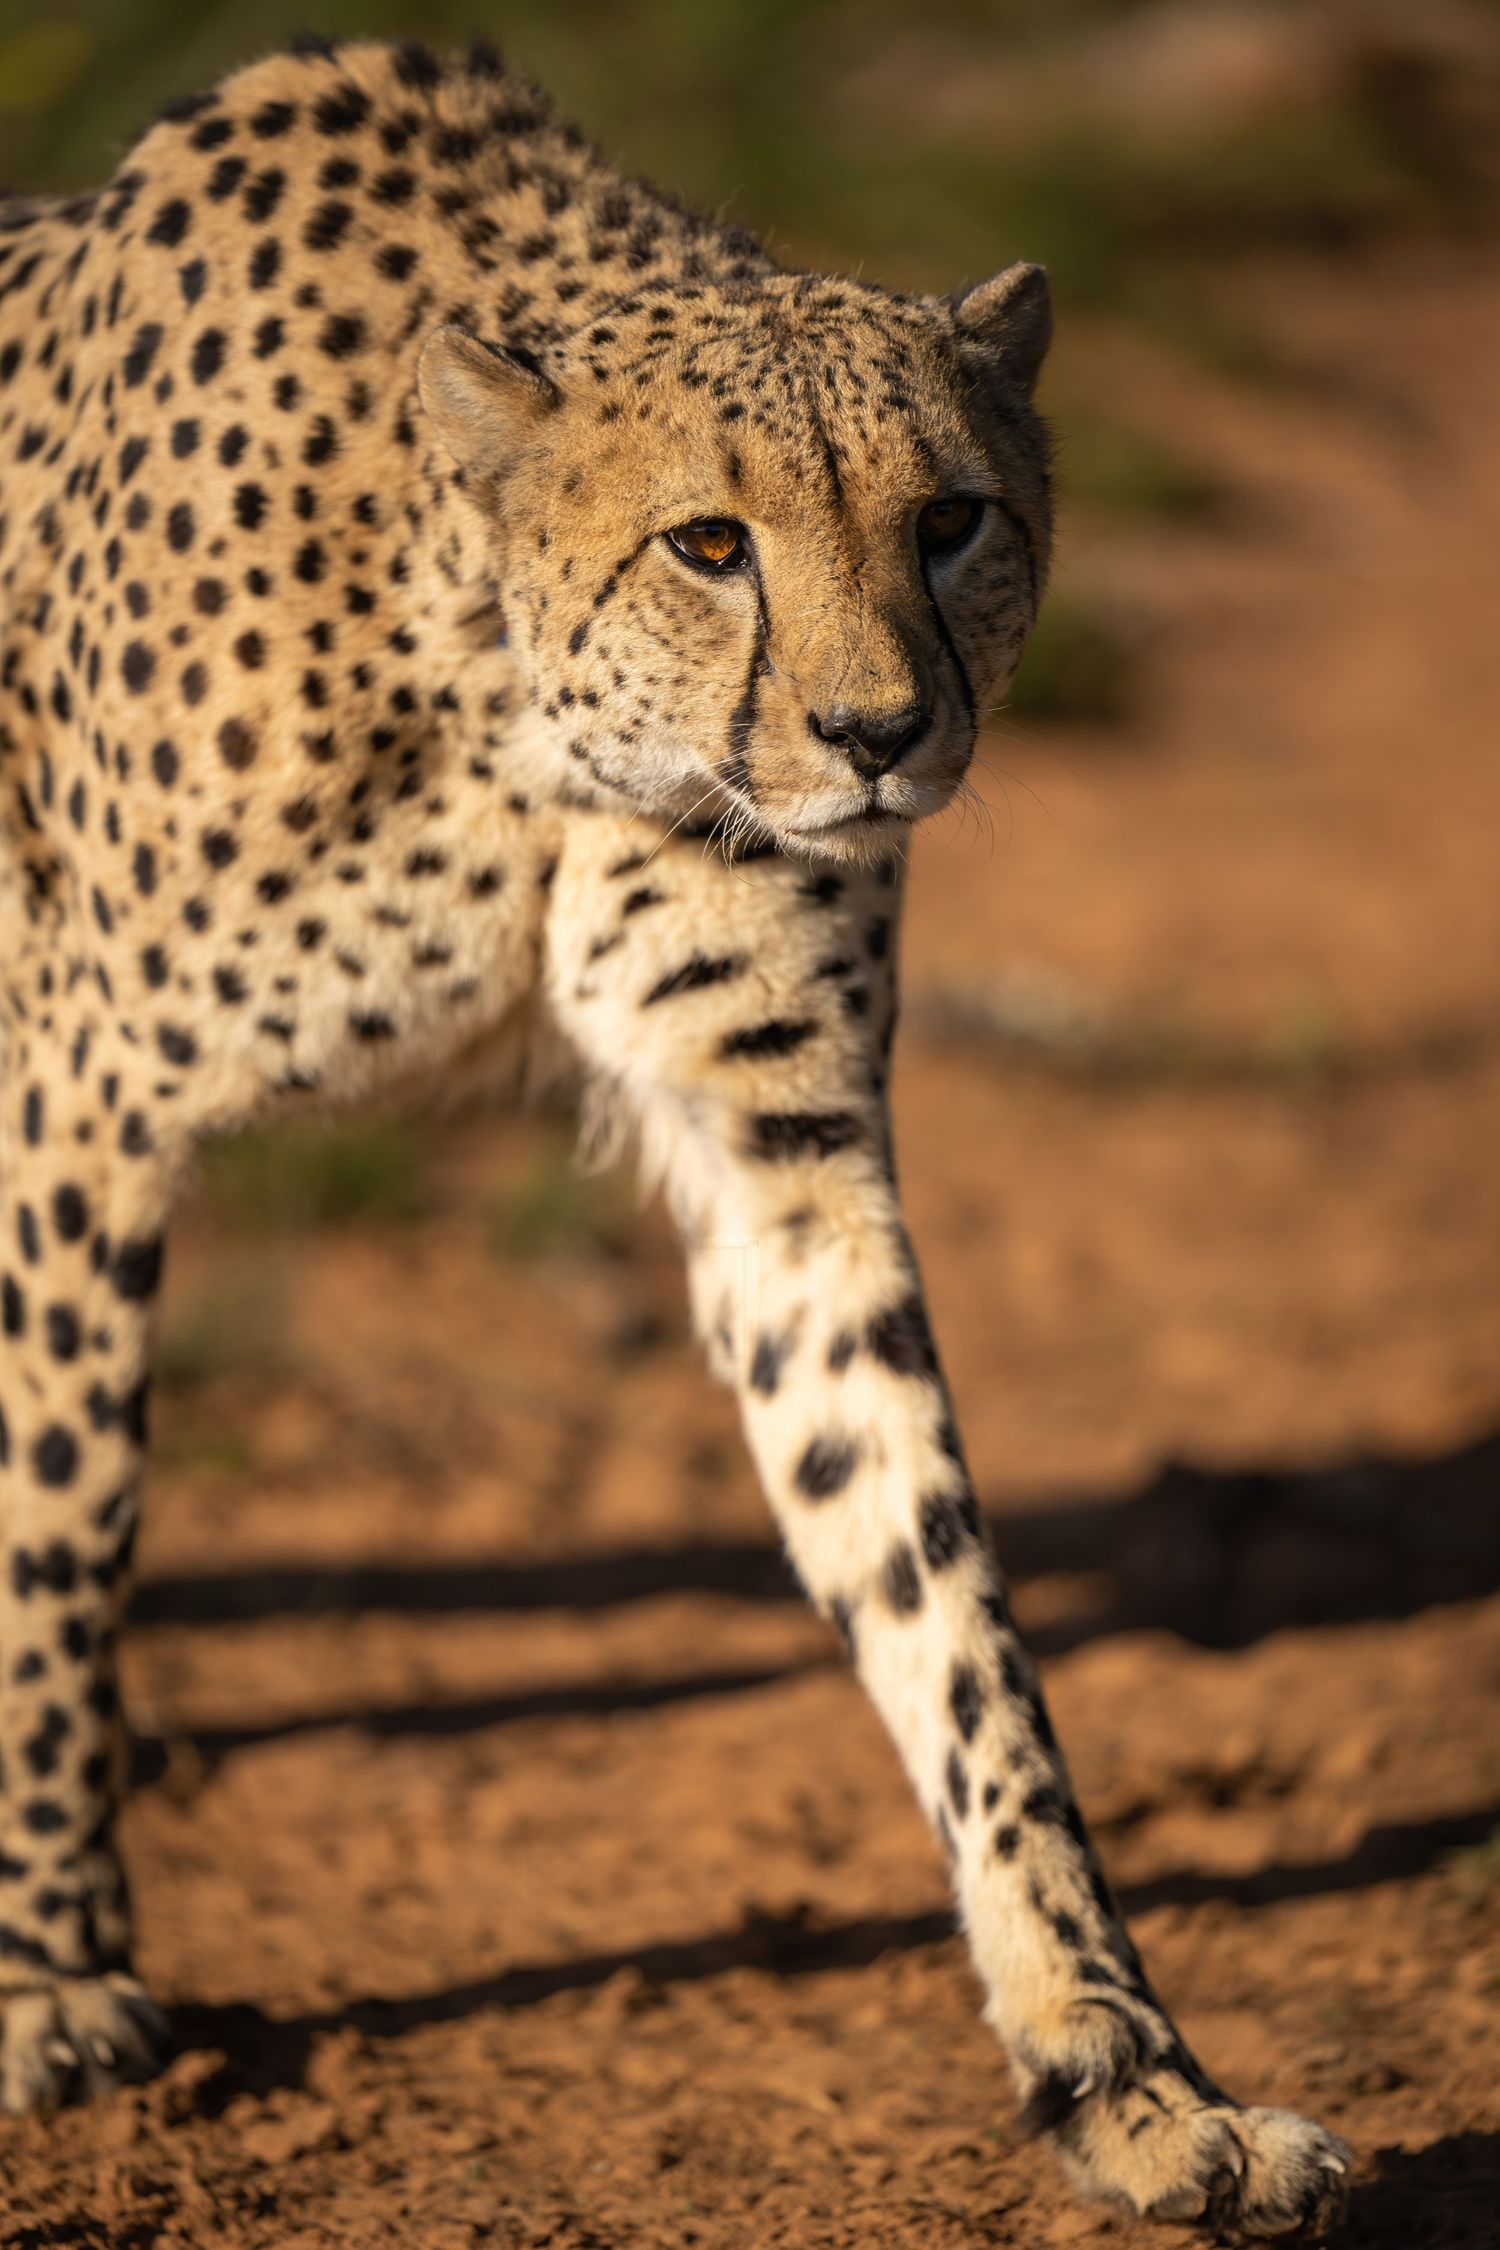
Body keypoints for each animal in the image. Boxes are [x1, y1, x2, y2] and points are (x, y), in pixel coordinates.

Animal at [0, 35, 1350, 2239]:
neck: (516, 709)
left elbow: (947, 1609)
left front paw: (1126, 2073)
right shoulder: (74, 1099)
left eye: (953, 518)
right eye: (711, 544)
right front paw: (45, 1973)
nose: (881, 736)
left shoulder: (778, 1161)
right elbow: (59, 1522)